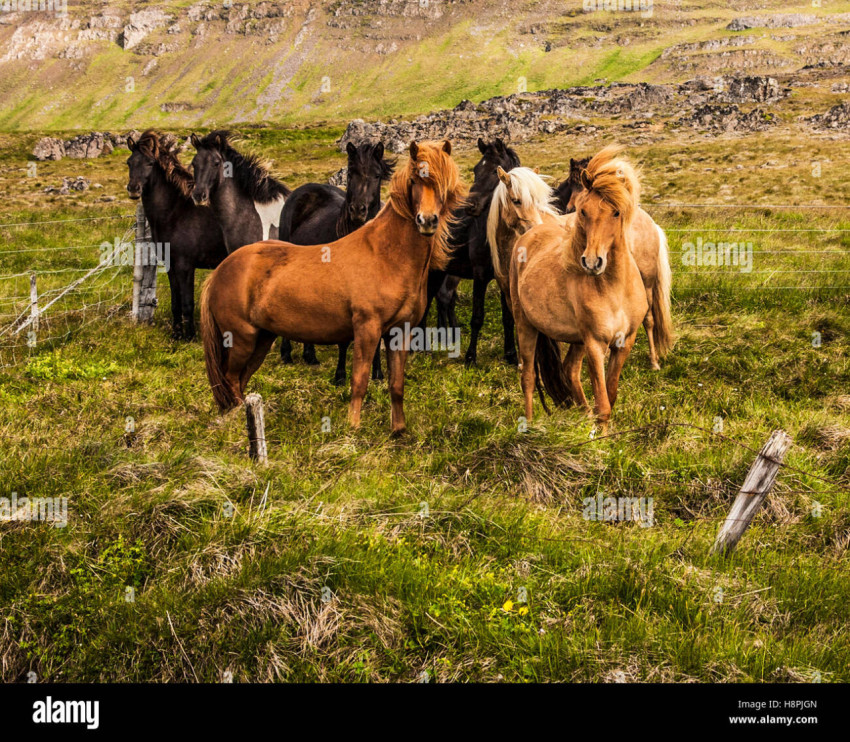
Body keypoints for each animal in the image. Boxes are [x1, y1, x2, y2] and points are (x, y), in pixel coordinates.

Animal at [124, 132, 227, 342]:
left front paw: (190, 337)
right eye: (129, 162)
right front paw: (176, 334)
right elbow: (176, 302)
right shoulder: (170, 265)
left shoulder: (185, 266)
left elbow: (187, 303)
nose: (133, 189)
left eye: (150, 163)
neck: (177, 213)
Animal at [200, 141, 464, 436]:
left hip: (261, 340)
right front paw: (353, 428)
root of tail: (221, 270)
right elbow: (359, 381)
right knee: (231, 378)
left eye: (443, 183)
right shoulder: (367, 330)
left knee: (239, 380)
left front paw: (398, 430)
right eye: (416, 180)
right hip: (241, 339)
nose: (427, 221)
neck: (386, 255)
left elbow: (396, 385)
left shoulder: (400, 332)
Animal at [420, 138, 520, 368]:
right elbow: (477, 317)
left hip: (438, 274)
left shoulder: (505, 277)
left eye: (494, 170)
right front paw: (470, 357)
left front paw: (511, 355)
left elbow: (508, 317)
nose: (470, 206)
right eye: (476, 170)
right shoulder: (480, 275)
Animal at [506, 145, 672, 430]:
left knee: (570, 369)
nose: (592, 262)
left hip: (576, 340)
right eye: (584, 212)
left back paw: (582, 414)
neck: (614, 289)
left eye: (616, 212)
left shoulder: (623, 343)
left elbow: (610, 394)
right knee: (528, 377)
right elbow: (603, 404)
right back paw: (529, 426)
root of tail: (528, 235)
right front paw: (602, 435)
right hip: (526, 326)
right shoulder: (595, 344)